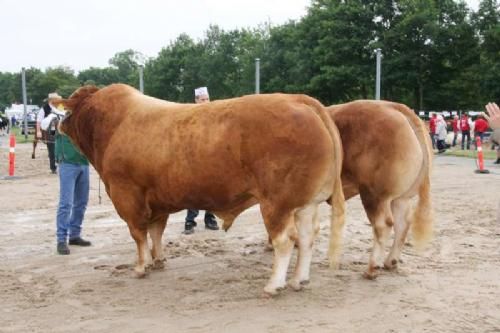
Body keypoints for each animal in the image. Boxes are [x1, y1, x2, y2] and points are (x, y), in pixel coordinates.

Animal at [54, 83, 344, 294]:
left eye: (68, 110)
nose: (58, 125)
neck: (111, 126)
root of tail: (298, 99)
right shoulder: (157, 200)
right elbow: (156, 231)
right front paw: (158, 260)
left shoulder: (126, 194)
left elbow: (138, 234)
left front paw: (141, 266)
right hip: (305, 203)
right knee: (306, 238)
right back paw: (298, 280)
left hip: (276, 203)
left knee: (284, 241)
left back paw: (274, 285)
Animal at [328, 100, 434, 278]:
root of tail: (392, 106)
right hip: (401, 197)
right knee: (402, 223)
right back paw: (391, 262)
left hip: (374, 194)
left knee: (383, 224)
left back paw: (372, 268)